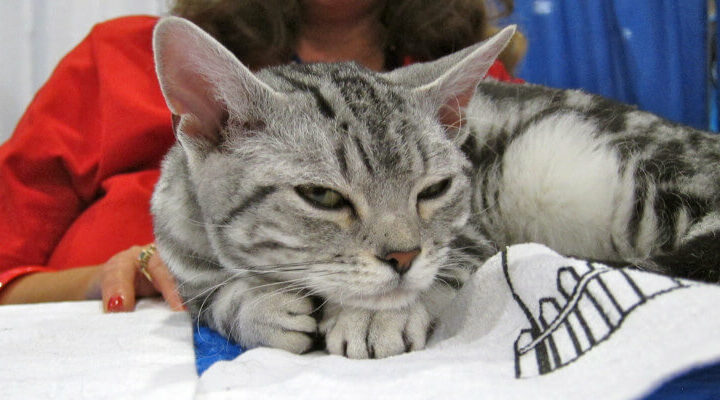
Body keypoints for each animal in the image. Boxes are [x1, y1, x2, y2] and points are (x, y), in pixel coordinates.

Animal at [150, 17, 720, 360]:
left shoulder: (473, 232)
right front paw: (255, 306)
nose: (402, 256)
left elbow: (444, 263)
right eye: (323, 196)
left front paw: (371, 316)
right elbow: (207, 297)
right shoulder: (179, 257)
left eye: (435, 189)